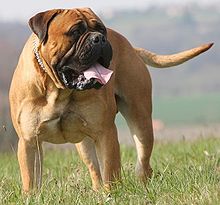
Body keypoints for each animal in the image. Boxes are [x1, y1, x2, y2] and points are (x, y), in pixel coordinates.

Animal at [9, 7, 213, 192]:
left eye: (101, 29)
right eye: (75, 32)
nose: (99, 38)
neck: (60, 90)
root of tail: (131, 47)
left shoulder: (105, 133)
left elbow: (110, 170)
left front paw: (112, 194)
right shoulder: (29, 141)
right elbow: (30, 179)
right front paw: (32, 197)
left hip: (141, 121)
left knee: (143, 160)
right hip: (84, 143)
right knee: (94, 168)